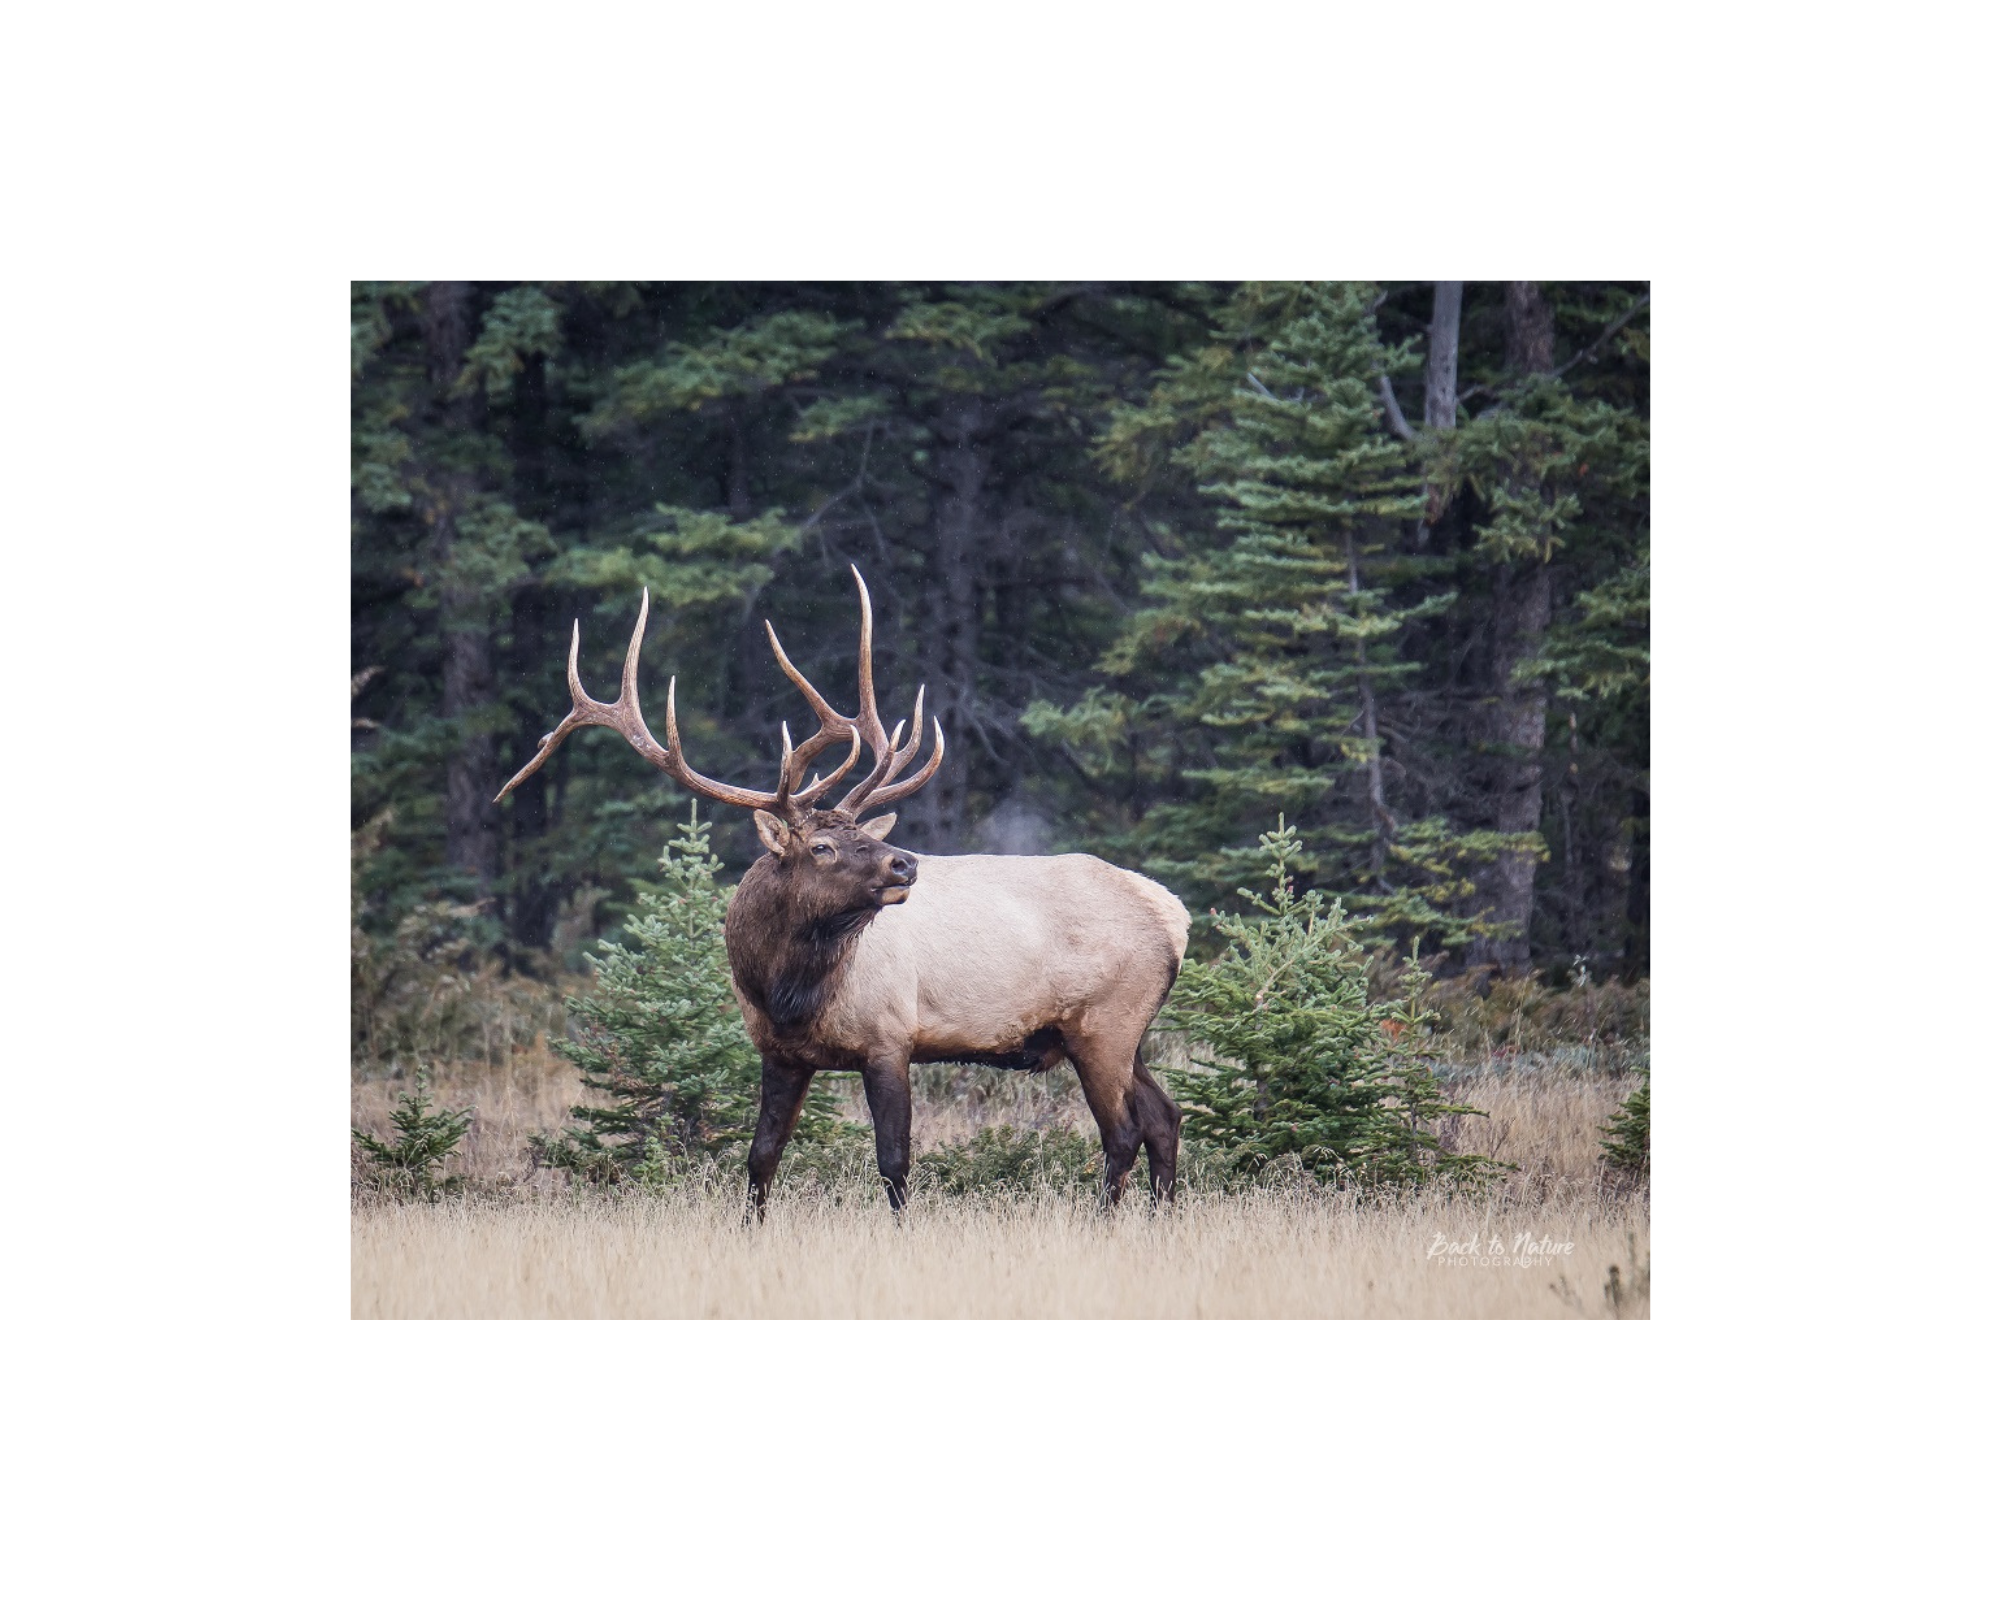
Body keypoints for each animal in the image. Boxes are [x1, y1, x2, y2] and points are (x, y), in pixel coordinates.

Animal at [498, 576, 1184, 1216]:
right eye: (824, 847)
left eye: (863, 836)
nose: (906, 862)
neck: (786, 989)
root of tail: (1175, 916)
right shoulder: (781, 1053)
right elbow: (761, 1156)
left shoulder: (890, 1038)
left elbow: (894, 1162)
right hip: (1119, 1031)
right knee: (1165, 1116)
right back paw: (1160, 1219)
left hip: (1104, 1021)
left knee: (1123, 1131)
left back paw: (1104, 1222)